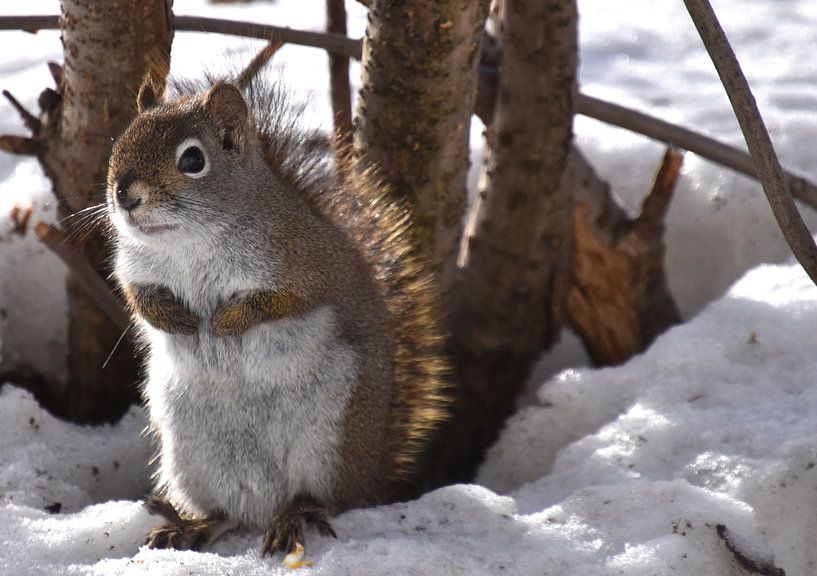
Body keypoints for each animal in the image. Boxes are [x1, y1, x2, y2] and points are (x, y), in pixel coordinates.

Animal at [105, 63, 448, 556]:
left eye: (192, 160)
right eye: (120, 141)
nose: (125, 196)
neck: (189, 241)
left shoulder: (306, 266)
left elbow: (282, 302)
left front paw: (228, 321)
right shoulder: (134, 267)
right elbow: (137, 295)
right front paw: (173, 317)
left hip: (326, 441)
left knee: (321, 498)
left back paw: (294, 516)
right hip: (192, 453)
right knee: (226, 512)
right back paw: (192, 525)